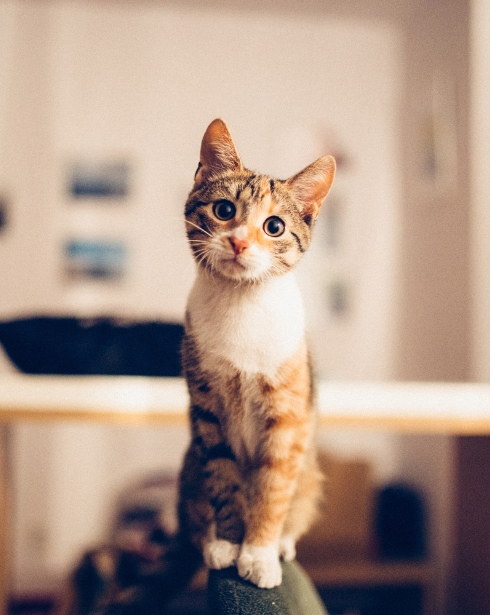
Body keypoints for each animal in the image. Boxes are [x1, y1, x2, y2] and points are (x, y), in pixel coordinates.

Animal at [180, 118, 336, 588]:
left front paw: (260, 553)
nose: (239, 244)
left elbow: (272, 488)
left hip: (311, 476)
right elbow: (223, 478)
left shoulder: (287, 417)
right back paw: (209, 539)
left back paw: (283, 544)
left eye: (274, 227)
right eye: (224, 210)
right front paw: (229, 545)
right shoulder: (207, 410)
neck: (241, 302)